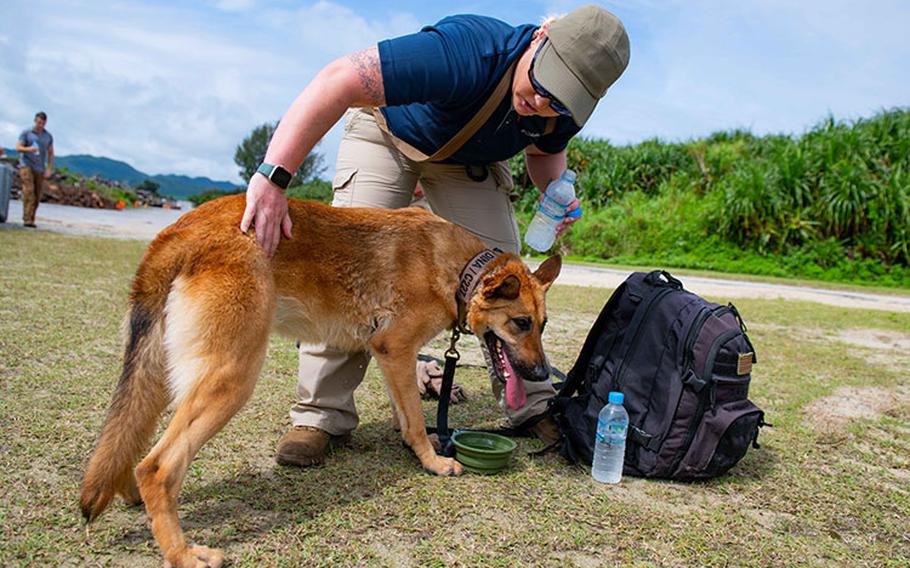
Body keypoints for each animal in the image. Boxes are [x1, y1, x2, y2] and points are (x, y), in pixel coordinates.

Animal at [80, 195, 564, 568]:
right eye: (520, 324)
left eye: (542, 326)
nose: (543, 374)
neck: (458, 266)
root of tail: (181, 228)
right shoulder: (395, 347)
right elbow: (412, 412)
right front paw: (432, 460)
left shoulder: (390, 354)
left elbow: (403, 408)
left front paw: (413, 443)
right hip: (231, 378)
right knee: (158, 466)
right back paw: (182, 553)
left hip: (164, 372)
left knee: (130, 437)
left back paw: (129, 493)